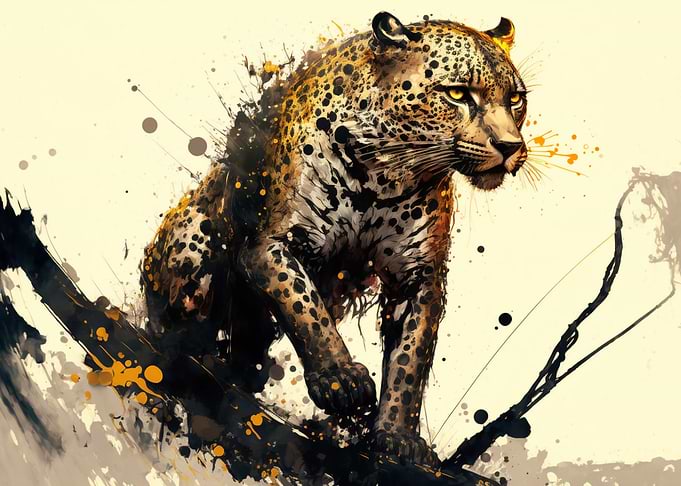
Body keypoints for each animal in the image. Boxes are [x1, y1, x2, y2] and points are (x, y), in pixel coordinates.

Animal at [140, 11, 528, 466]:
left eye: (516, 100)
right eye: (457, 93)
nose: (511, 146)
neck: (383, 174)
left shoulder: (420, 276)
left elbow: (410, 358)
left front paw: (397, 436)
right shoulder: (270, 244)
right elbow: (305, 306)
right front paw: (341, 379)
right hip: (193, 242)